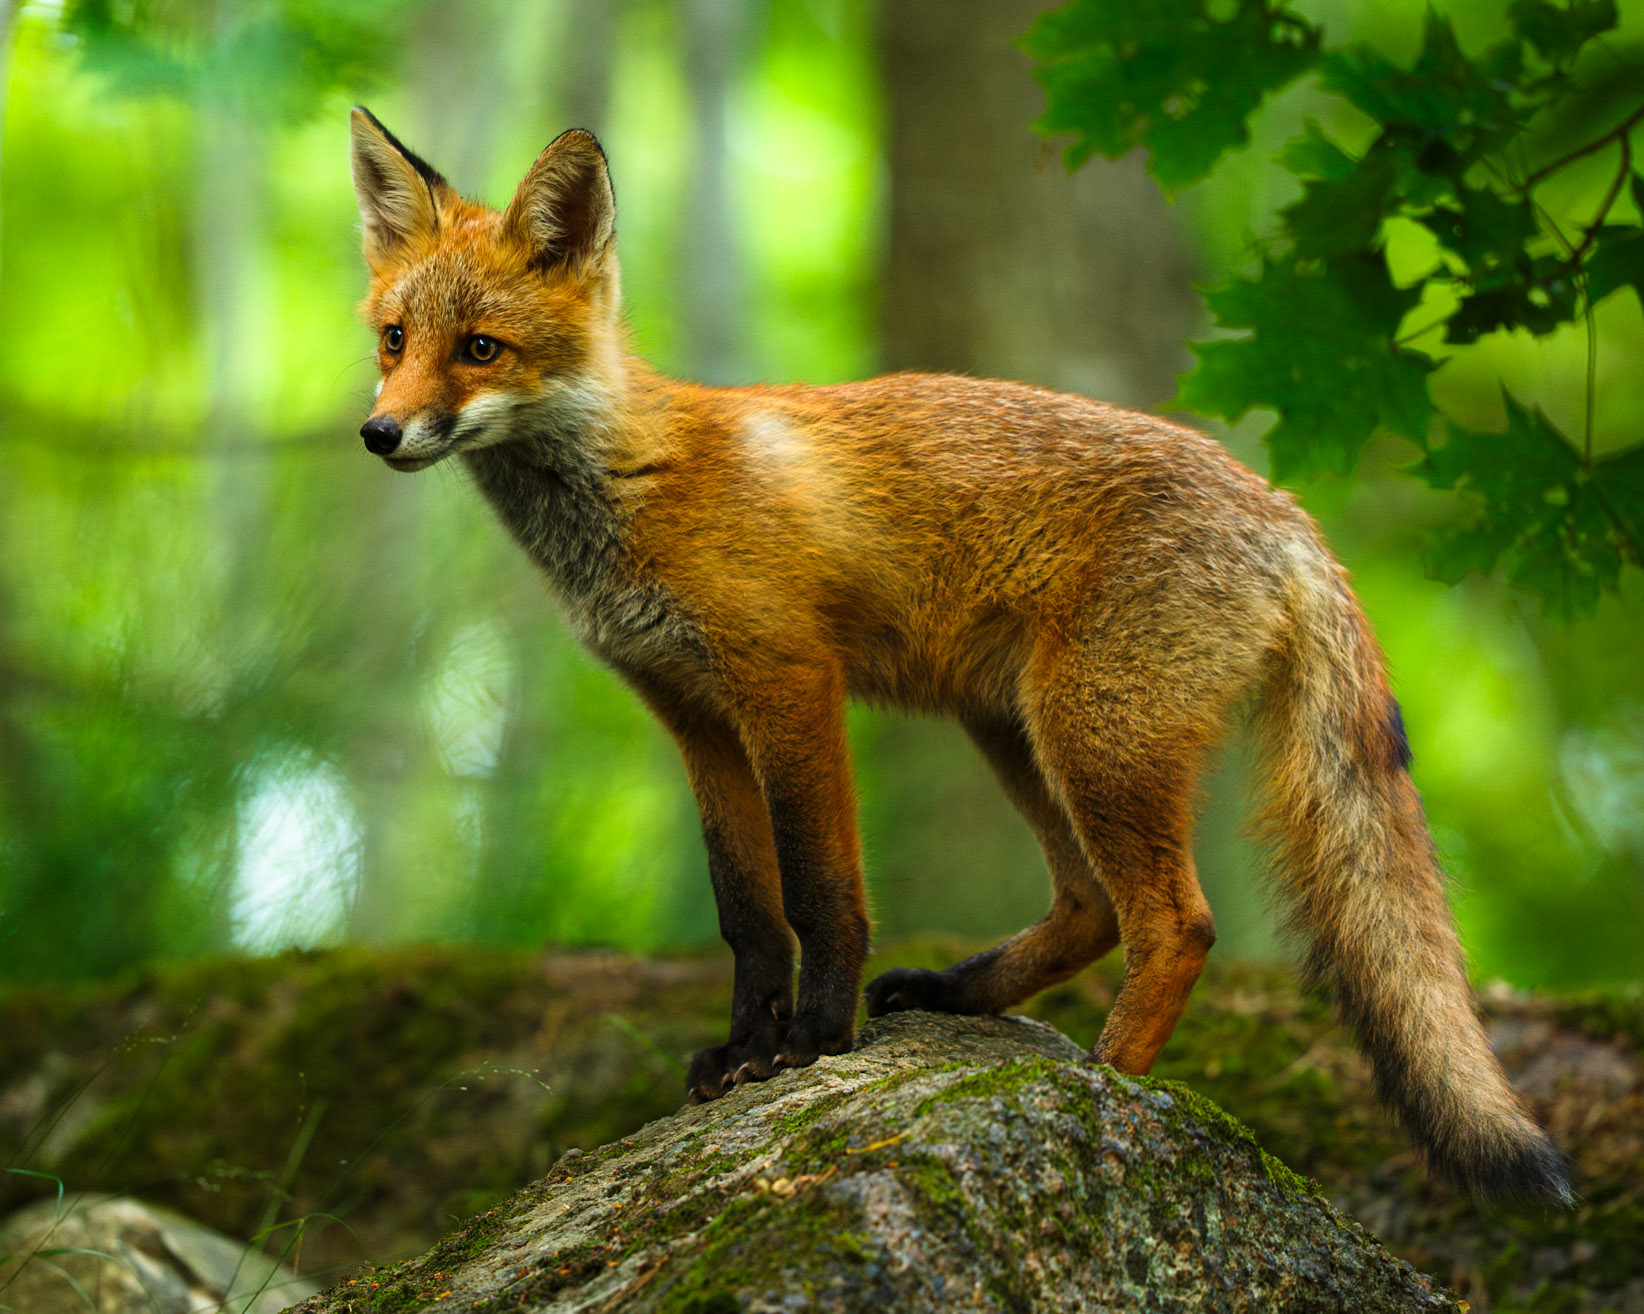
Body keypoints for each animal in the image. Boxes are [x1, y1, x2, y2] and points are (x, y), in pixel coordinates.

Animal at [347, 107, 1573, 1208]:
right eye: (395, 341)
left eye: (482, 349)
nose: (377, 434)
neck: (632, 485)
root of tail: (1289, 514)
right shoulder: (692, 715)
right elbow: (747, 912)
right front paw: (741, 1057)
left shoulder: (790, 684)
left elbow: (821, 893)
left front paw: (810, 1045)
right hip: (1016, 729)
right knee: (1089, 908)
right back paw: (963, 997)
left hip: (1092, 736)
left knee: (1175, 923)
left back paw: (1109, 1094)